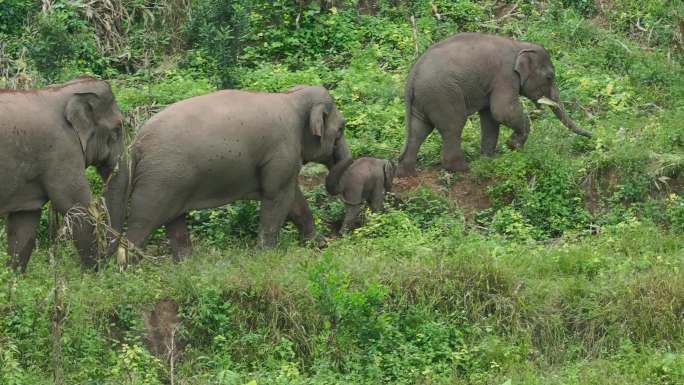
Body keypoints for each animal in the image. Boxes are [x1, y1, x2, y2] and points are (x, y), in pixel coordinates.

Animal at [0, 76, 128, 272]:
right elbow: (76, 207)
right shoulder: (62, 149)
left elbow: (24, 222)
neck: (65, 90)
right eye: (117, 129)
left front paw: (13, 276)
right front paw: (93, 275)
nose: (111, 261)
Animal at [117, 84, 350, 258]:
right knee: (142, 222)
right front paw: (266, 256)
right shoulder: (281, 150)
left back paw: (187, 265)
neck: (291, 97)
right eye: (342, 128)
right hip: (158, 180)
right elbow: (277, 196)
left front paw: (318, 244)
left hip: (172, 180)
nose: (338, 234)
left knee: (175, 220)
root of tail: (136, 145)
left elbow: (293, 197)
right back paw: (129, 269)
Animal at [398, 31, 592, 176]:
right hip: (443, 95)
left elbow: (490, 117)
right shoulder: (505, 75)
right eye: (549, 77)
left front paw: (490, 159)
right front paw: (513, 145)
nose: (591, 135)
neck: (519, 45)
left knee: (419, 130)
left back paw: (407, 172)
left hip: (423, 100)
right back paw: (463, 168)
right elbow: (502, 111)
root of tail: (412, 76)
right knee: (453, 126)